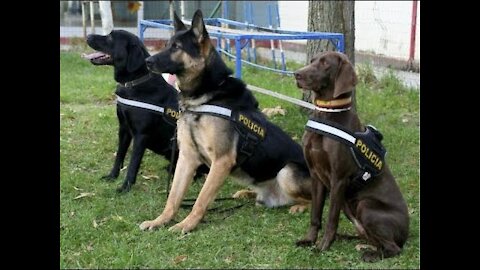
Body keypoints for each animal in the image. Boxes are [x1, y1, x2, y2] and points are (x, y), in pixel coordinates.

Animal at [139, 10, 312, 233]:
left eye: (176, 47)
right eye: (168, 44)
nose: (147, 61)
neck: (205, 97)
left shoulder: (221, 160)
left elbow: (201, 199)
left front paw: (186, 224)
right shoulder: (187, 158)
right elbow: (173, 197)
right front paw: (160, 220)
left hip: (287, 172)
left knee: (315, 199)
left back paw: (300, 206)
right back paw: (247, 194)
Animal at [292, 51, 408, 262]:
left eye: (325, 64)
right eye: (312, 61)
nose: (296, 74)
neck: (327, 114)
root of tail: (407, 232)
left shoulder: (338, 179)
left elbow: (331, 218)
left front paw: (323, 246)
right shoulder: (315, 175)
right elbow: (315, 215)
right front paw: (309, 240)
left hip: (365, 205)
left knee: (394, 248)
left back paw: (371, 254)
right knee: (368, 237)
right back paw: (347, 238)